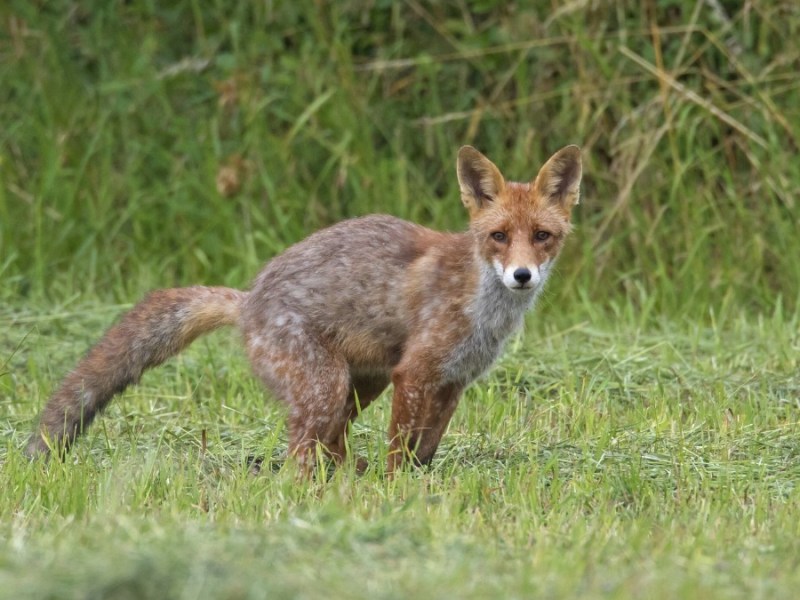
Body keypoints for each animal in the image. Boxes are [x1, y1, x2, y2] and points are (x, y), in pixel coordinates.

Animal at [26, 144, 580, 474]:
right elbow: (400, 451)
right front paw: (395, 492)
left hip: (359, 385)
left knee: (331, 446)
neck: (482, 310)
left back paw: (345, 480)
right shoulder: (416, 373)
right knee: (299, 458)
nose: (522, 276)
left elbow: (424, 452)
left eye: (542, 237)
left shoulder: (452, 382)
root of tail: (250, 297)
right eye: (499, 236)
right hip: (327, 387)